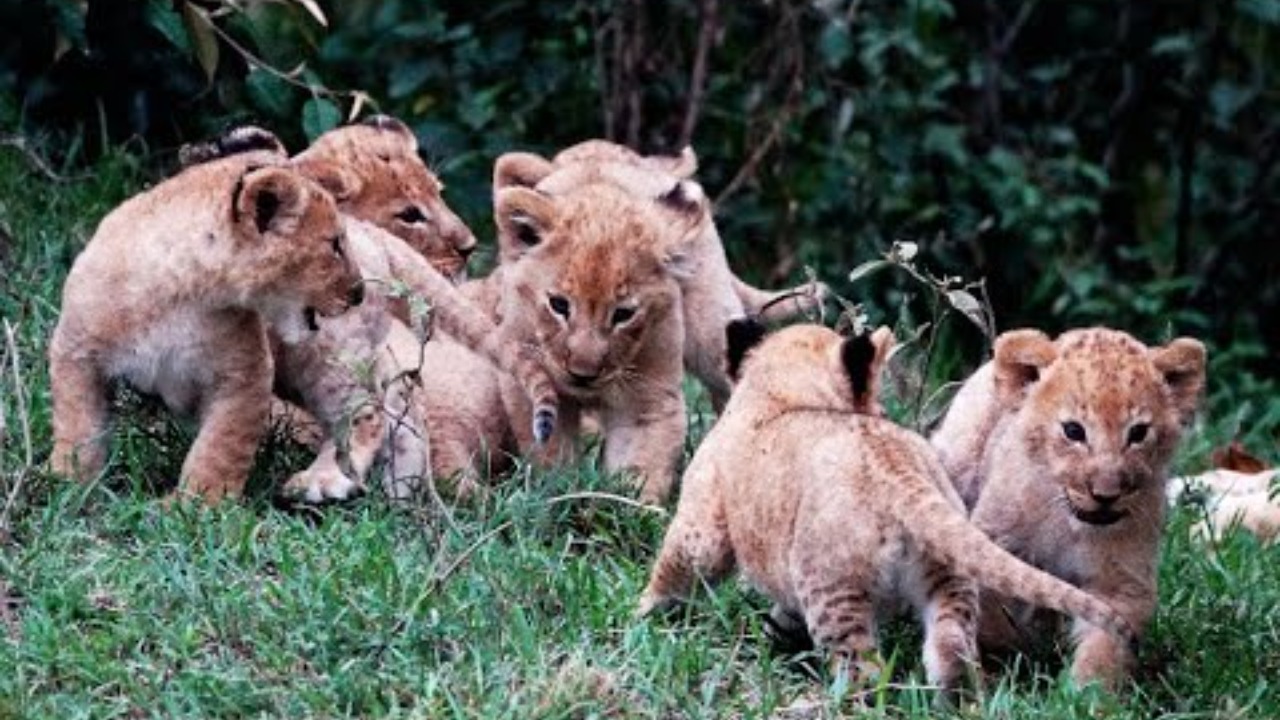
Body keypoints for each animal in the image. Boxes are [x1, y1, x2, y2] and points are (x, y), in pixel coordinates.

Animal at [49, 149, 364, 501]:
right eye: (335, 245)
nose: (361, 292)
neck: (183, 294)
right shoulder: (77, 351)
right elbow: (78, 425)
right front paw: (68, 484)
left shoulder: (243, 377)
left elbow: (220, 447)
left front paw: (197, 502)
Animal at [638, 321, 1135, 696]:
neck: (782, 393)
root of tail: (902, 481)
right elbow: (782, 614)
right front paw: (775, 640)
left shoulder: (702, 518)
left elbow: (674, 568)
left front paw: (642, 616)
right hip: (950, 578)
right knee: (951, 651)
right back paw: (957, 700)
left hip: (834, 591)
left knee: (863, 670)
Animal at [929, 327, 1206, 688]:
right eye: (1073, 431)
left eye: (1138, 433)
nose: (1105, 494)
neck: (1069, 525)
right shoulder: (998, 547)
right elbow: (993, 617)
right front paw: (1001, 666)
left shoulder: (1121, 580)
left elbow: (1105, 644)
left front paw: (1086, 693)